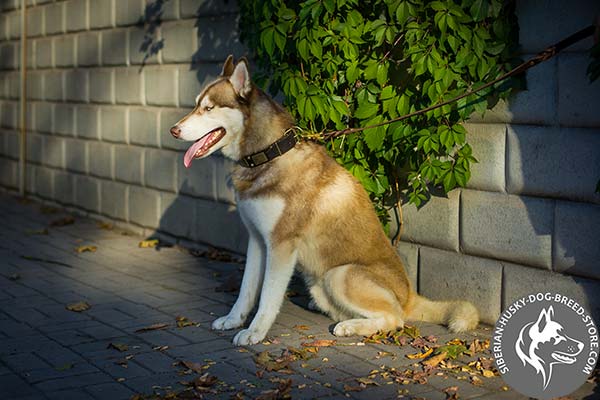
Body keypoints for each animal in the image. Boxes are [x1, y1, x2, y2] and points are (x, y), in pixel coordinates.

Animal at [171, 56, 480, 346]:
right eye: (196, 104)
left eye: (208, 108)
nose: (174, 130)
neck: (269, 153)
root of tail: (410, 295)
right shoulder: (257, 240)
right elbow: (246, 289)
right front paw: (233, 320)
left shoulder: (281, 244)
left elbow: (268, 296)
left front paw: (255, 332)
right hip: (320, 285)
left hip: (340, 275)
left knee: (395, 319)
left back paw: (352, 327)